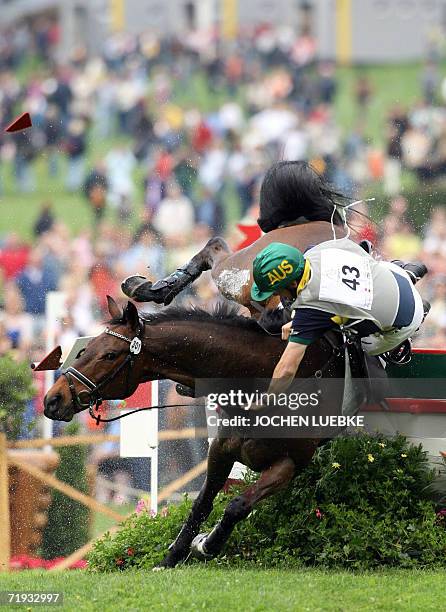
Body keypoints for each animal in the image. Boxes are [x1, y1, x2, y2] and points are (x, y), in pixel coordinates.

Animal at [44, 296, 344, 568]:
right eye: (85, 349)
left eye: (109, 355)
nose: (53, 399)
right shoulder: (221, 451)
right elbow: (201, 503)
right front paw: (171, 558)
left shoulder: (290, 463)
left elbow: (237, 505)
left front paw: (207, 544)